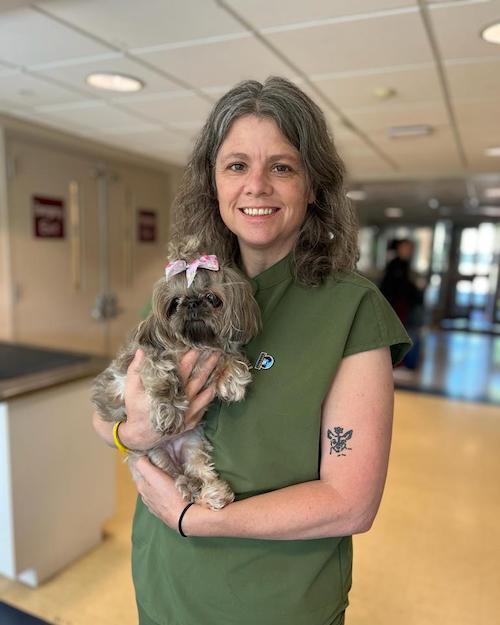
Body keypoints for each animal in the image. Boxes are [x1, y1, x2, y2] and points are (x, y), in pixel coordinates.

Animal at [92, 236, 262, 510]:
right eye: (174, 303)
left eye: (212, 298)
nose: (192, 302)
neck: (195, 344)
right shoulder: (148, 360)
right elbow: (163, 379)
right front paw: (169, 410)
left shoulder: (213, 354)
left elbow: (228, 355)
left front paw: (232, 379)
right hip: (154, 455)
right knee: (180, 479)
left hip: (193, 446)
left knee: (199, 471)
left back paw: (214, 492)